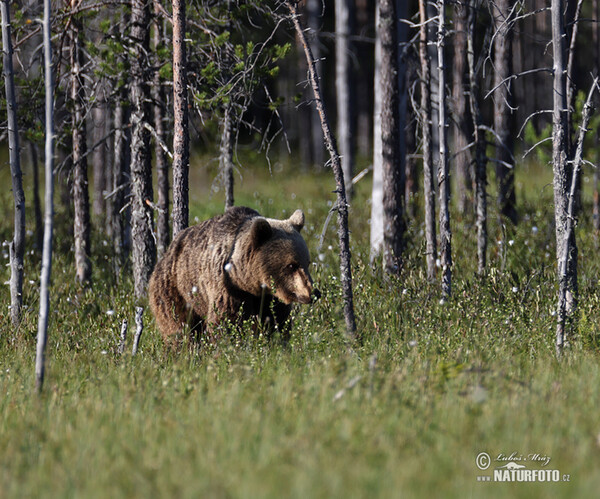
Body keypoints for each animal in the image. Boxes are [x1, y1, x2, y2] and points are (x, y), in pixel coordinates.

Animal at [148, 205, 318, 342]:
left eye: (307, 262)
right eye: (291, 265)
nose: (314, 293)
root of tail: (166, 253)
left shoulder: (269, 296)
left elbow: (275, 319)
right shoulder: (228, 288)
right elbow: (226, 322)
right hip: (175, 289)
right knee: (179, 326)